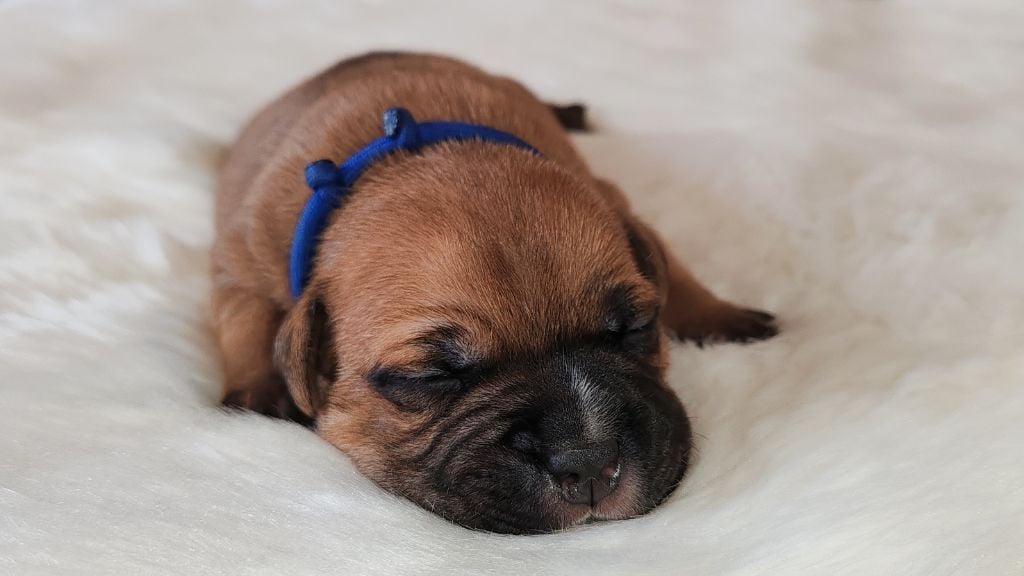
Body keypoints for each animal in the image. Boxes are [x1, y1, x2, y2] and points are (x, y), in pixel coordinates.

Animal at [211, 52, 777, 534]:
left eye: (635, 327)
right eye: (431, 376)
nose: (589, 462)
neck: (404, 160)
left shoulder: (618, 200)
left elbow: (671, 268)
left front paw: (718, 314)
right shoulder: (239, 265)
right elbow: (242, 317)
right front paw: (258, 394)